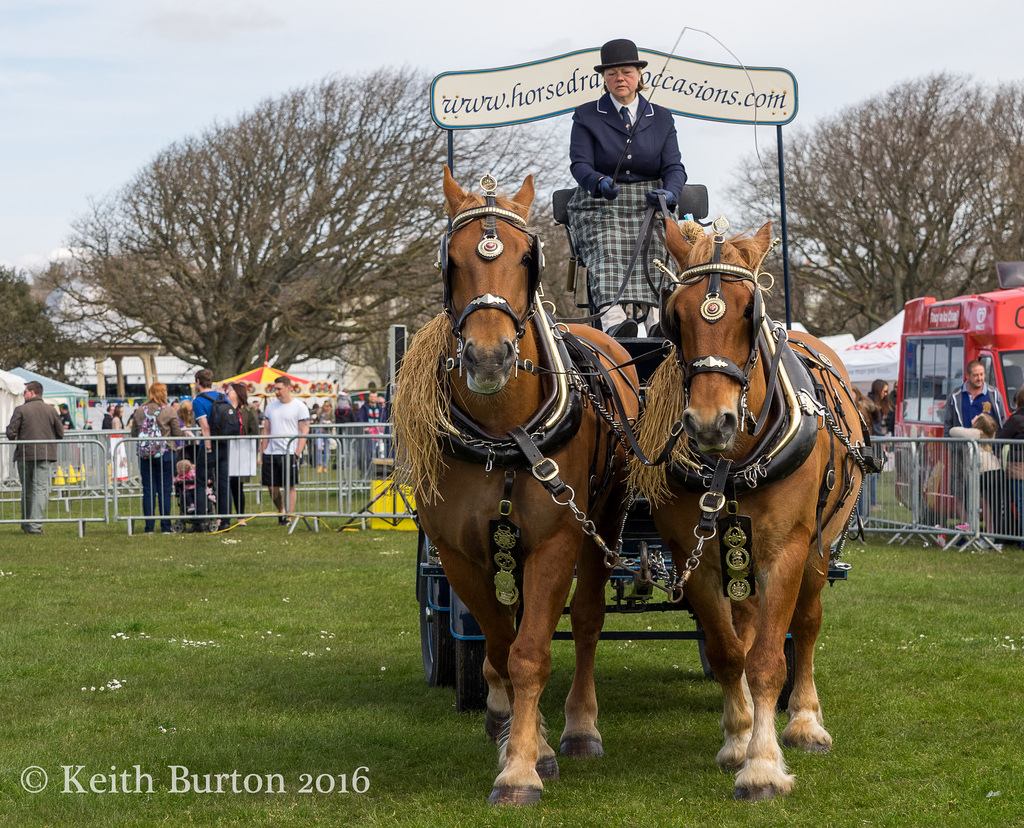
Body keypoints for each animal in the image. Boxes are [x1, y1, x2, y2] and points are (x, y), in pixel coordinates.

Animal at [393, 164, 638, 802]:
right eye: (450, 259)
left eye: (528, 257)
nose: (487, 358)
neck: (504, 431)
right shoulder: (459, 552)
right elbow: (500, 645)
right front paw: (515, 738)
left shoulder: (555, 540)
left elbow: (531, 651)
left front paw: (523, 767)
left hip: (603, 521)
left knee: (586, 621)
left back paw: (579, 728)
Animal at [630, 215, 880, 798]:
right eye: (675, 315)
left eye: (751, 312)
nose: (709, 423)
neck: (733, 462)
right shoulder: (692, 556)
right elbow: (728, 652)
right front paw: (738, 740)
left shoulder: (785, 550)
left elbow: (768, 658)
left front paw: (763, 764)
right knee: (743, 626)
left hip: (818, 548)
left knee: (806, 624)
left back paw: (805, 721)